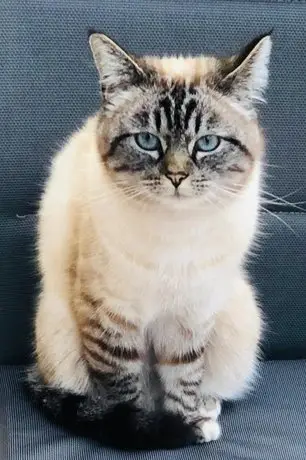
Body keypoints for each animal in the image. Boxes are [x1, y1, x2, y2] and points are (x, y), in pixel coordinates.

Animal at [26, 29, 272, 450]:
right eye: (146, 141)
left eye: (207, 143)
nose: (176, 176)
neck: (175, 232)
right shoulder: (112, 319)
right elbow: (127, 392)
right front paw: (148, 428)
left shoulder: (189, 317)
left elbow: (183, 380)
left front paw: (186, 421)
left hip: (240, 317)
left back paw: (207, 409)